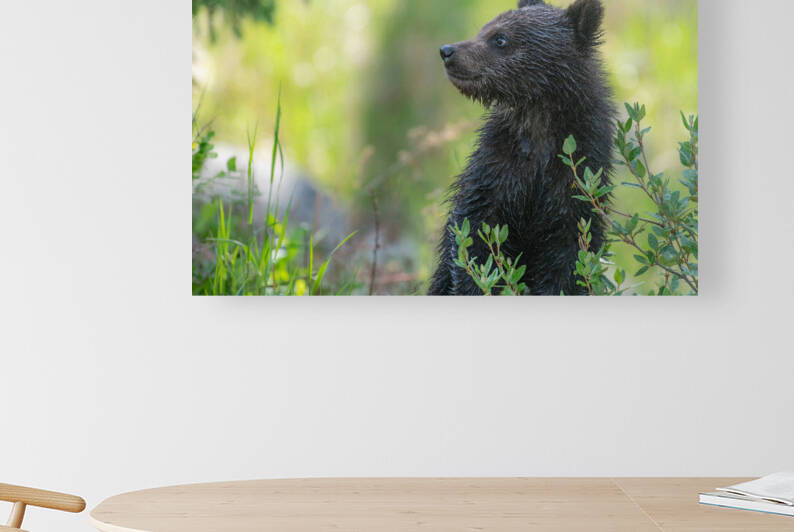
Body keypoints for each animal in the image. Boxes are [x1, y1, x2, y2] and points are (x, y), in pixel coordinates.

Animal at [429, 0, 616, 296]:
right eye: (484, 29)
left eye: (500, 38)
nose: (448, 51)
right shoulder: (497, 169)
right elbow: (473, 239)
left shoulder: (577, 176)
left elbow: (568, 260)